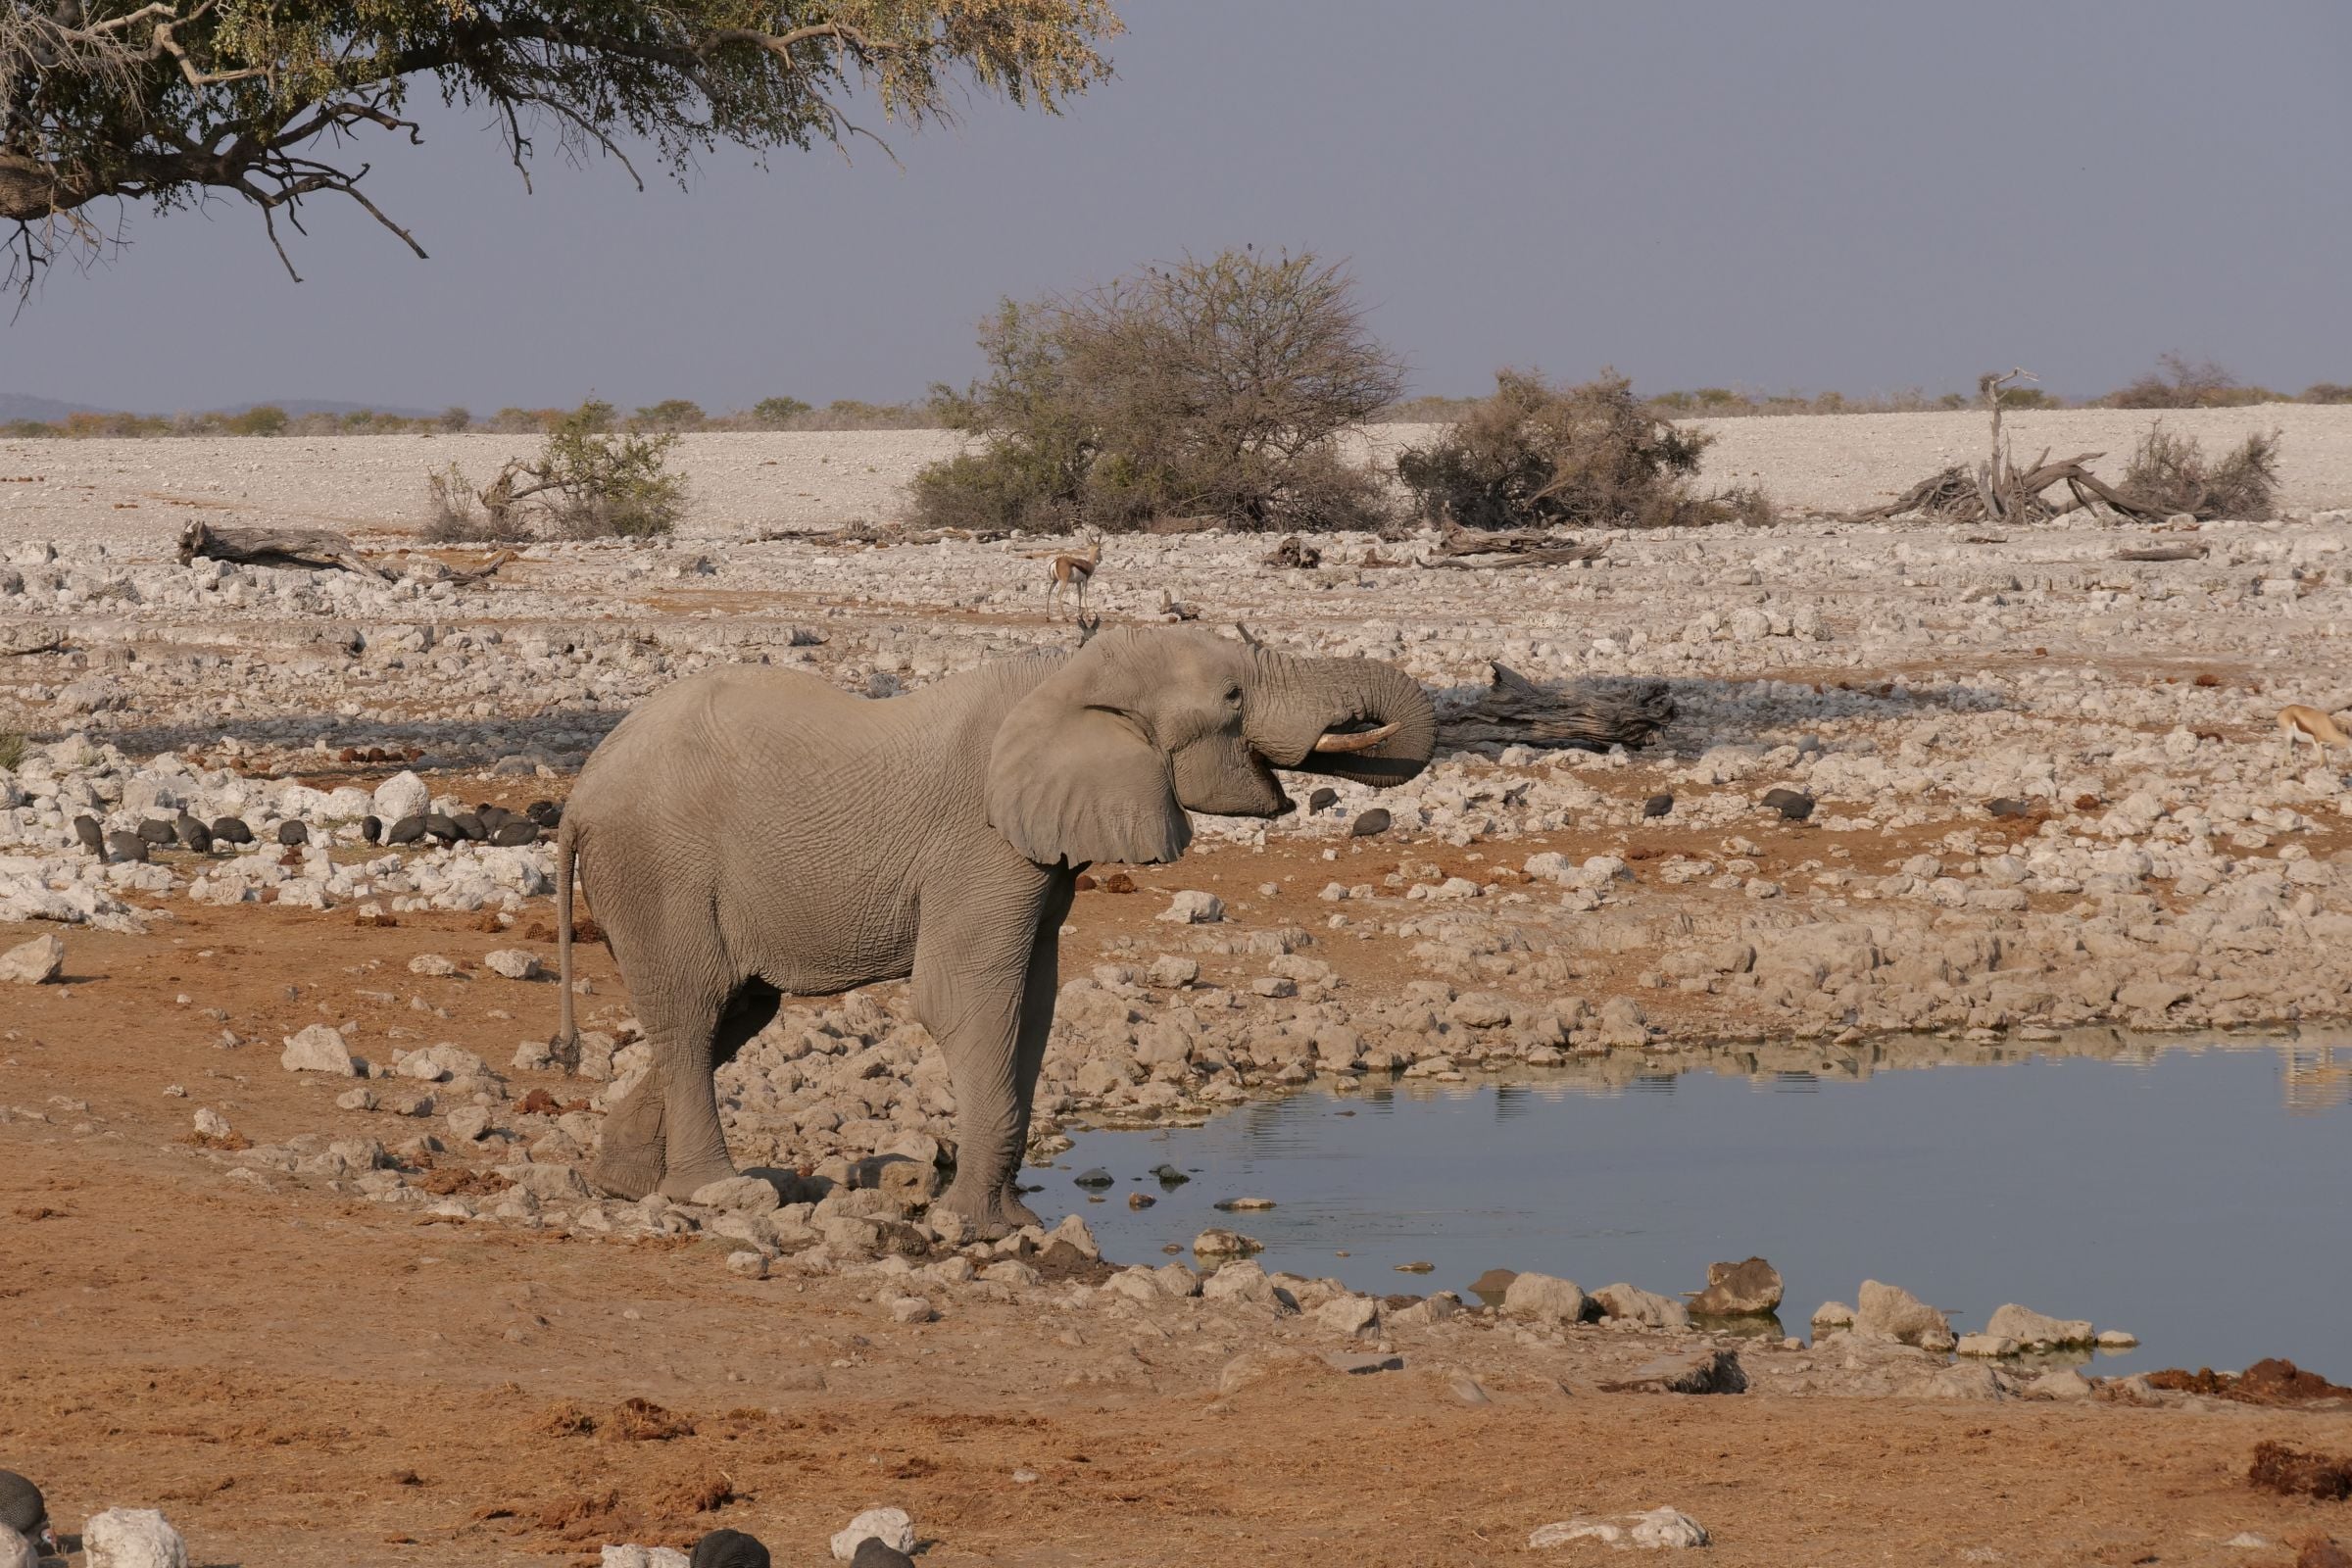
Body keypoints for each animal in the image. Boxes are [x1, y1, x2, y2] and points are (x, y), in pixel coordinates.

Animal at [553, 623, 1435, 1236]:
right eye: (1231, 701)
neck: (1068, 674)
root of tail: (579, 791)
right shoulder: (981, 846)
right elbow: (968, 1000)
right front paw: (980, 1229)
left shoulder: (1040, 857)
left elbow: (1033, 1004)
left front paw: (1013, 1222)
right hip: (658, 864)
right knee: (696, 1011)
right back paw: (713, 1193)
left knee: (734, 1012)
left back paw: (623, 1183)